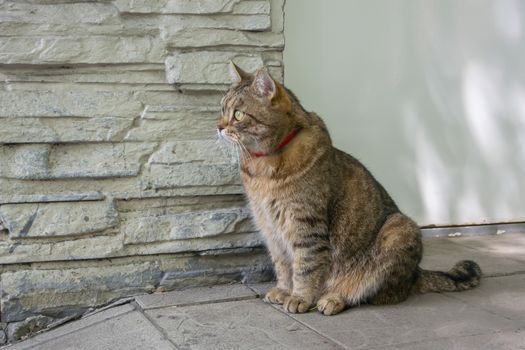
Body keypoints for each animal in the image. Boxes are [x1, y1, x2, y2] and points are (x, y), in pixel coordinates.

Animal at [216, 63, 478, 318]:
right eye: (221, 109)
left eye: (238, 115)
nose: (218, 127)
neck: (263, 167)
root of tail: (416, 273)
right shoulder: (270, 228)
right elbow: (282, 265)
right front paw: (283, 290)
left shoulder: (306, 225)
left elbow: (305, 267)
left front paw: (299, 297)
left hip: (399, 229)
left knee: (376, 293)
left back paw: (333, 298)